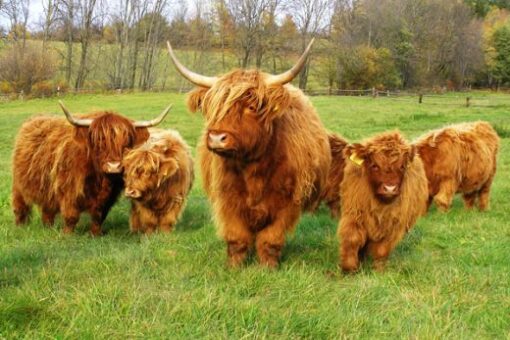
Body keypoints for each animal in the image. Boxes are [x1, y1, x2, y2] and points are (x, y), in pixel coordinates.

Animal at [11, 101, 171, 234]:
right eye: (99, 140)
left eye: (126, 142)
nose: (114, 166)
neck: (99, 178)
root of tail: (34, 119)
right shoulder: (68, 190)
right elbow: (71, 216)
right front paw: (67, 235)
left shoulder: (108, 196)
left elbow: (99, 216)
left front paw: (95, 234)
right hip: (18, 185)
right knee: (20, 206)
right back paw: (20, 227)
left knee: (47, 209)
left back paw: (47, 227)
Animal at [165, 39, 328, 268]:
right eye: (213, 107)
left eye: (251, 107)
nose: (217, 138)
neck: (253, 169)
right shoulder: (227, 198)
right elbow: (237, 237)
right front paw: (234, 266)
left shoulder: (287, 202)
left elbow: (270, 239)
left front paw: (268, 267)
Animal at [338, 131, 430, 272]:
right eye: (374, 165)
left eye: (402, 166)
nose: (390, 188)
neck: (380, 205)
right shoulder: (354, 213)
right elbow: (352, 239)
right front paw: (349, 268)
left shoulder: (394, 225)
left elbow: (382, 248)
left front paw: (379, 270)